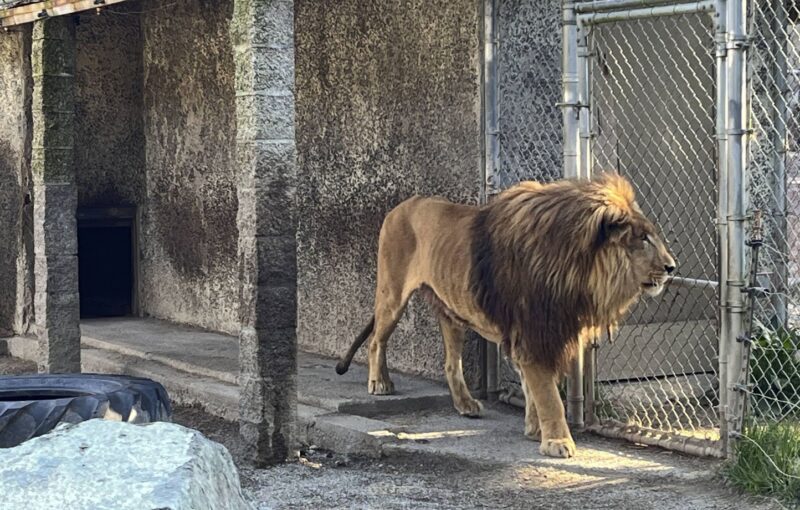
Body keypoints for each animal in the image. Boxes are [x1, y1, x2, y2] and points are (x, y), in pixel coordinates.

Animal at [335, 173, 676, 458]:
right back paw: (380, 383)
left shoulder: (539, 332)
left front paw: (535, 429)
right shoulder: (534, 331)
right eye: (643, 238)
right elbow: (548, 394)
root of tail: (402, 205)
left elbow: (533, 388)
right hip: (392, 295)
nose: (672, 267)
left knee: (451, 363)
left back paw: (466, 404)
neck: (577, 270)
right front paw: (557, 441)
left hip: (451, 311)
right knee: (376, 340)